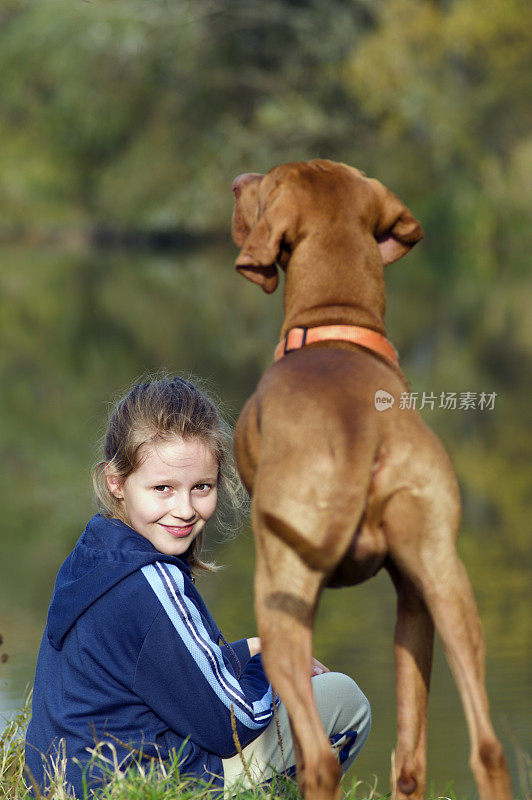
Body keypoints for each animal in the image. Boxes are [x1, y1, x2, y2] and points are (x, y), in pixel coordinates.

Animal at [231, 161, 512, 800]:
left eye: (266, 184)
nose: (236, 180)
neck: (335, 327)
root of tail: (361, 431)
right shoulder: (412, 599)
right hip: (445, 580)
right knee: (481, 750)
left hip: (280, 598)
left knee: (318, 758)